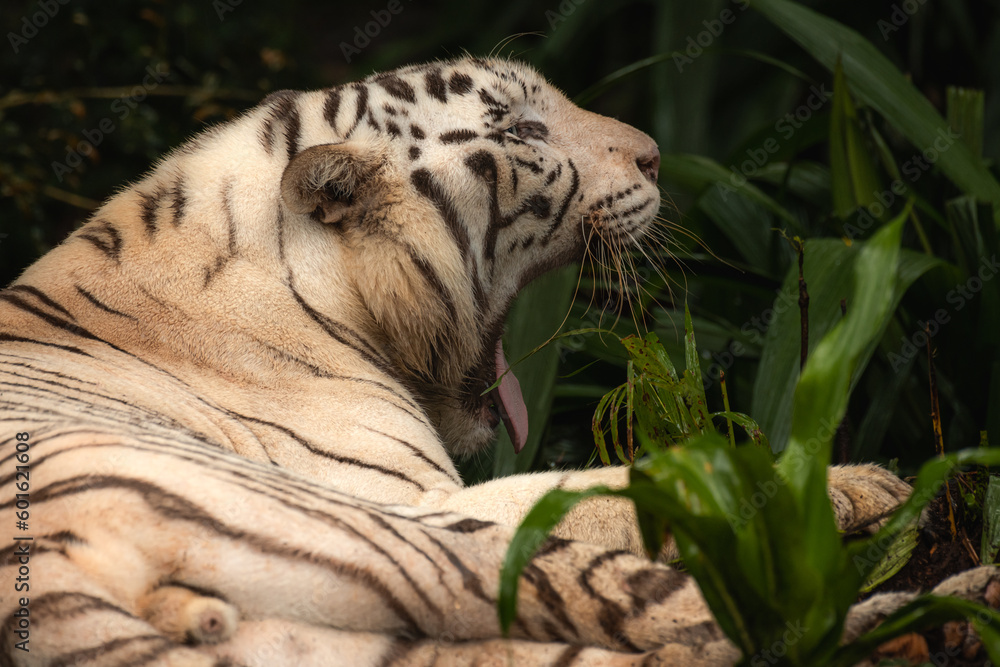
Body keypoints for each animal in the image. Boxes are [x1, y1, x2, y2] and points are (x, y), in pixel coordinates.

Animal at [1, 56, 996, 666]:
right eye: (519, 128)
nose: (657, 154)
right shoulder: (408, 494)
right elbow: (659, 473)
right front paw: (857, 481)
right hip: (412, 539)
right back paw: (946, 599)